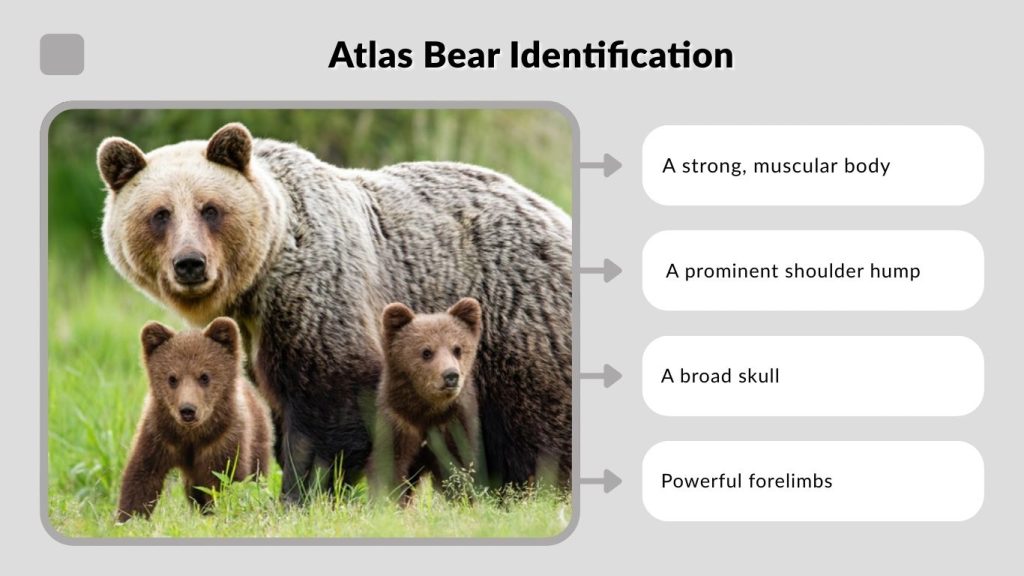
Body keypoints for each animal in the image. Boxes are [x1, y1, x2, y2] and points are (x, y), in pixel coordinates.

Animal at [115, 317, 274, 523]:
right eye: (172, 378)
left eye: (204, 376)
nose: (188, 410)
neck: (191, 436)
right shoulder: (159, 435)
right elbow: (141, 476)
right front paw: (129, 518)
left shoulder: (223, 440)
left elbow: (226, 481)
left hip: (258, 439)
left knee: (256, 476)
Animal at [372, 297, 483, 503]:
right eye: (426, 352)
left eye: (457, 349)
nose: (451, 375)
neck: (426, 413)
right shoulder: (399, 423)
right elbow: (390, 467)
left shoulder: (453, 425)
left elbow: (458, 468)